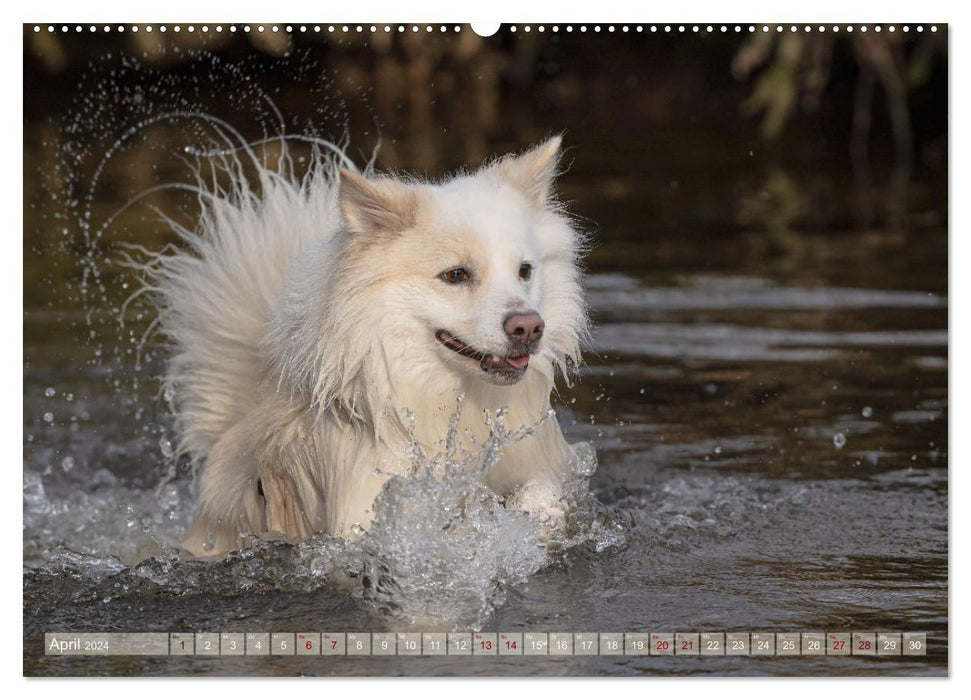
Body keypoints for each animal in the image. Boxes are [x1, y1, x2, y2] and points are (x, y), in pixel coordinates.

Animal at [156, 135, 588, 556]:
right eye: (455, 275)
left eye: (525, 271)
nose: (529, 327)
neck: (451, 404)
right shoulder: (362, 515)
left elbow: (540, 492)